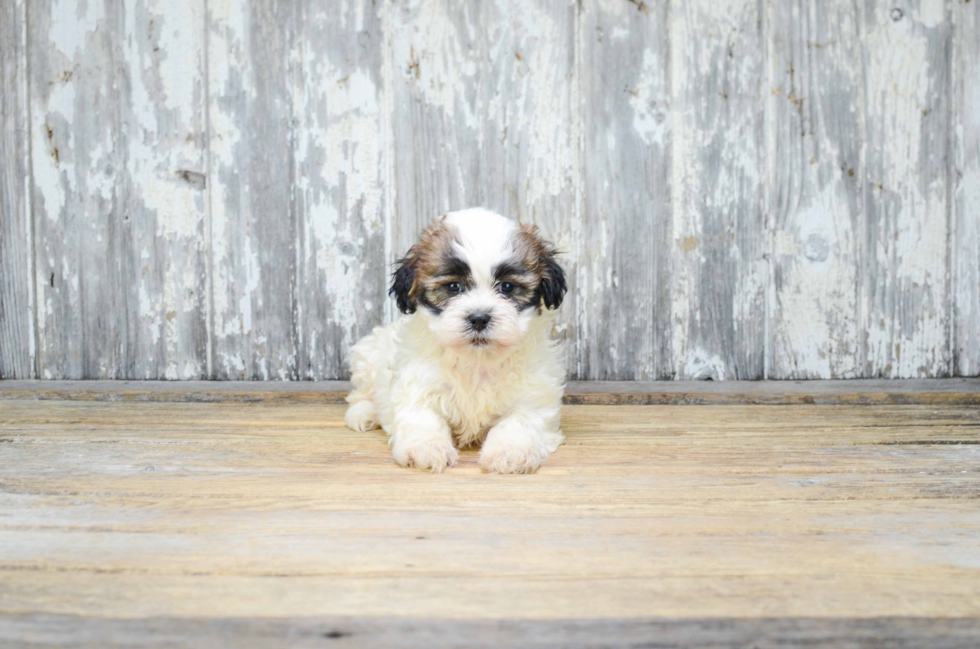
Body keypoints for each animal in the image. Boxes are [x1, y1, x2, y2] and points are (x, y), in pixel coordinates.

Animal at [344, 210, 568, 474]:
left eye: (507, 286)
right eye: (453, 287)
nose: (479, 318)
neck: (476, 361)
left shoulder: (533, 396)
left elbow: (520, 420)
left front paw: (510, 452)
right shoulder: (419, 386)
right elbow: (422, 418)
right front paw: (426, 448)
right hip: (368, 354)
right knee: (363, 393)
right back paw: (364, 414)